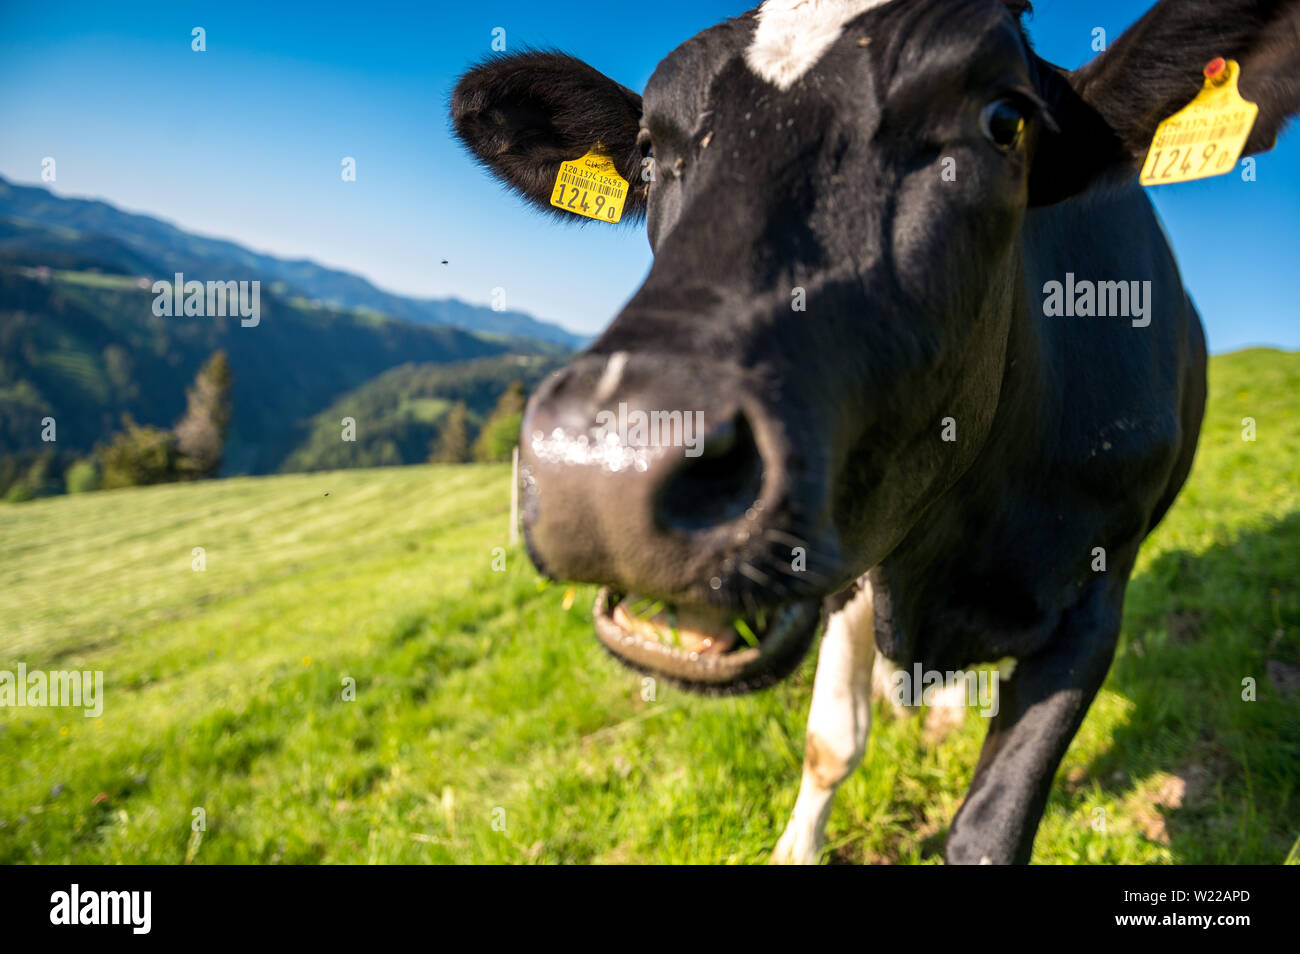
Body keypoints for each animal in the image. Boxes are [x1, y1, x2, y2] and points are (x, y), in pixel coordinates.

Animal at [451, 0, 1300, 863]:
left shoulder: (1097, 596)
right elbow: (833, 742)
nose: (603, 466)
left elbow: (990, 826)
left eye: (1004, 121)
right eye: (650, 155)